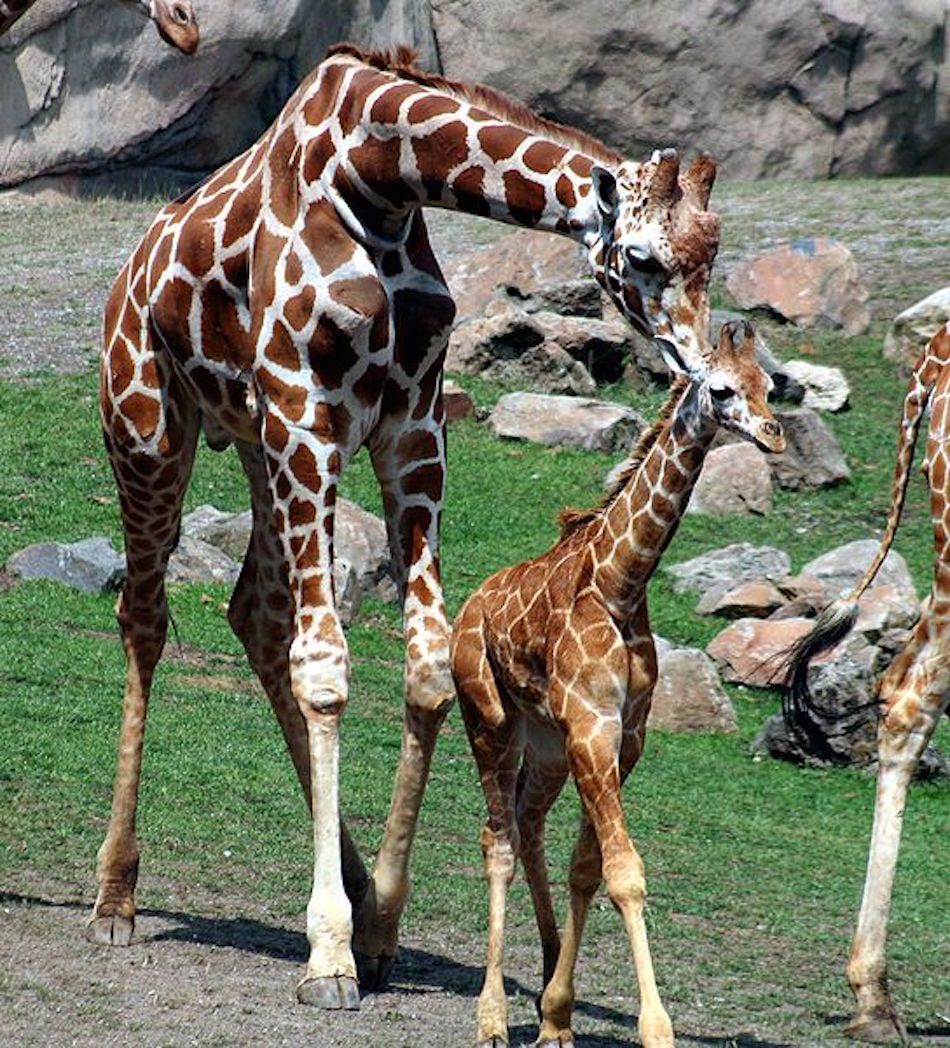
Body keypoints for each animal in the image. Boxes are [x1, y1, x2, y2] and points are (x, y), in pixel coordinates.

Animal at [94, 45, 717, 1010]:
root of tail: (129, 273)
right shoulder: (306, 410)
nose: (706, 363)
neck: (379, 175)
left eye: (713, 251)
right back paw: (116, 897)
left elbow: (424, 667)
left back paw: (345, 880)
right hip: (153, 428)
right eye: (644, 257)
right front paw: (329, 955)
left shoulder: (410, 426)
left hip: (256, 444)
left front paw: (380, 923)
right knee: (147, 615)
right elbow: (326, 670)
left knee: (253, 614)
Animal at [450, 320, 784, 1048]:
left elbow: (589, 867)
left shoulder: (621, 736)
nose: (774, 435)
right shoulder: (591, 726)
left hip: (546, 742)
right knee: (496, 841)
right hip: (489, 719)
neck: (620, 584)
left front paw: (557, 1015)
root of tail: (469, 608)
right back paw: (491, 1016)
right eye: (722, 388)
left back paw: (546, 982)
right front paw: (655, 1029)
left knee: (526, 825)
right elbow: (625, 873)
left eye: (771, 386)